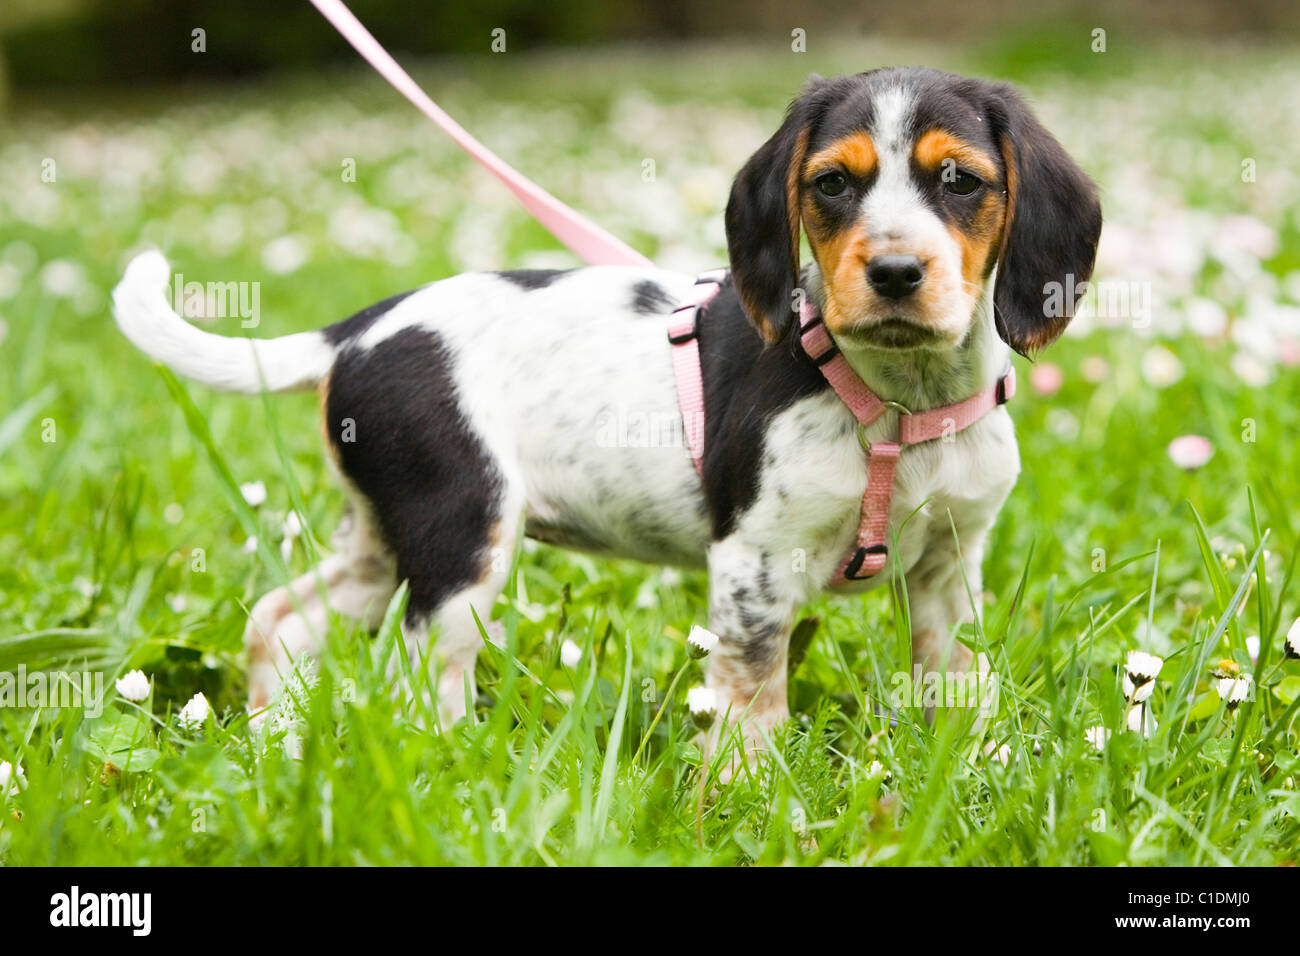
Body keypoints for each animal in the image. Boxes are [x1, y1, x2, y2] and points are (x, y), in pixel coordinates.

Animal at [116, 67, 1102, 754]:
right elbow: (752, 699)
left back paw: (272, 739)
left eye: (960, 180)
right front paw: (748, 794)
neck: (898, 400)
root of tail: (361, 329)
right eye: (831, 185)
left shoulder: (949, 569)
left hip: (387, 539)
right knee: (415, 678)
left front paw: (973, 767)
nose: (896, 272)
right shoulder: (756, 565)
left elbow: (959, 685)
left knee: (280, 620)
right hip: (462, 544)